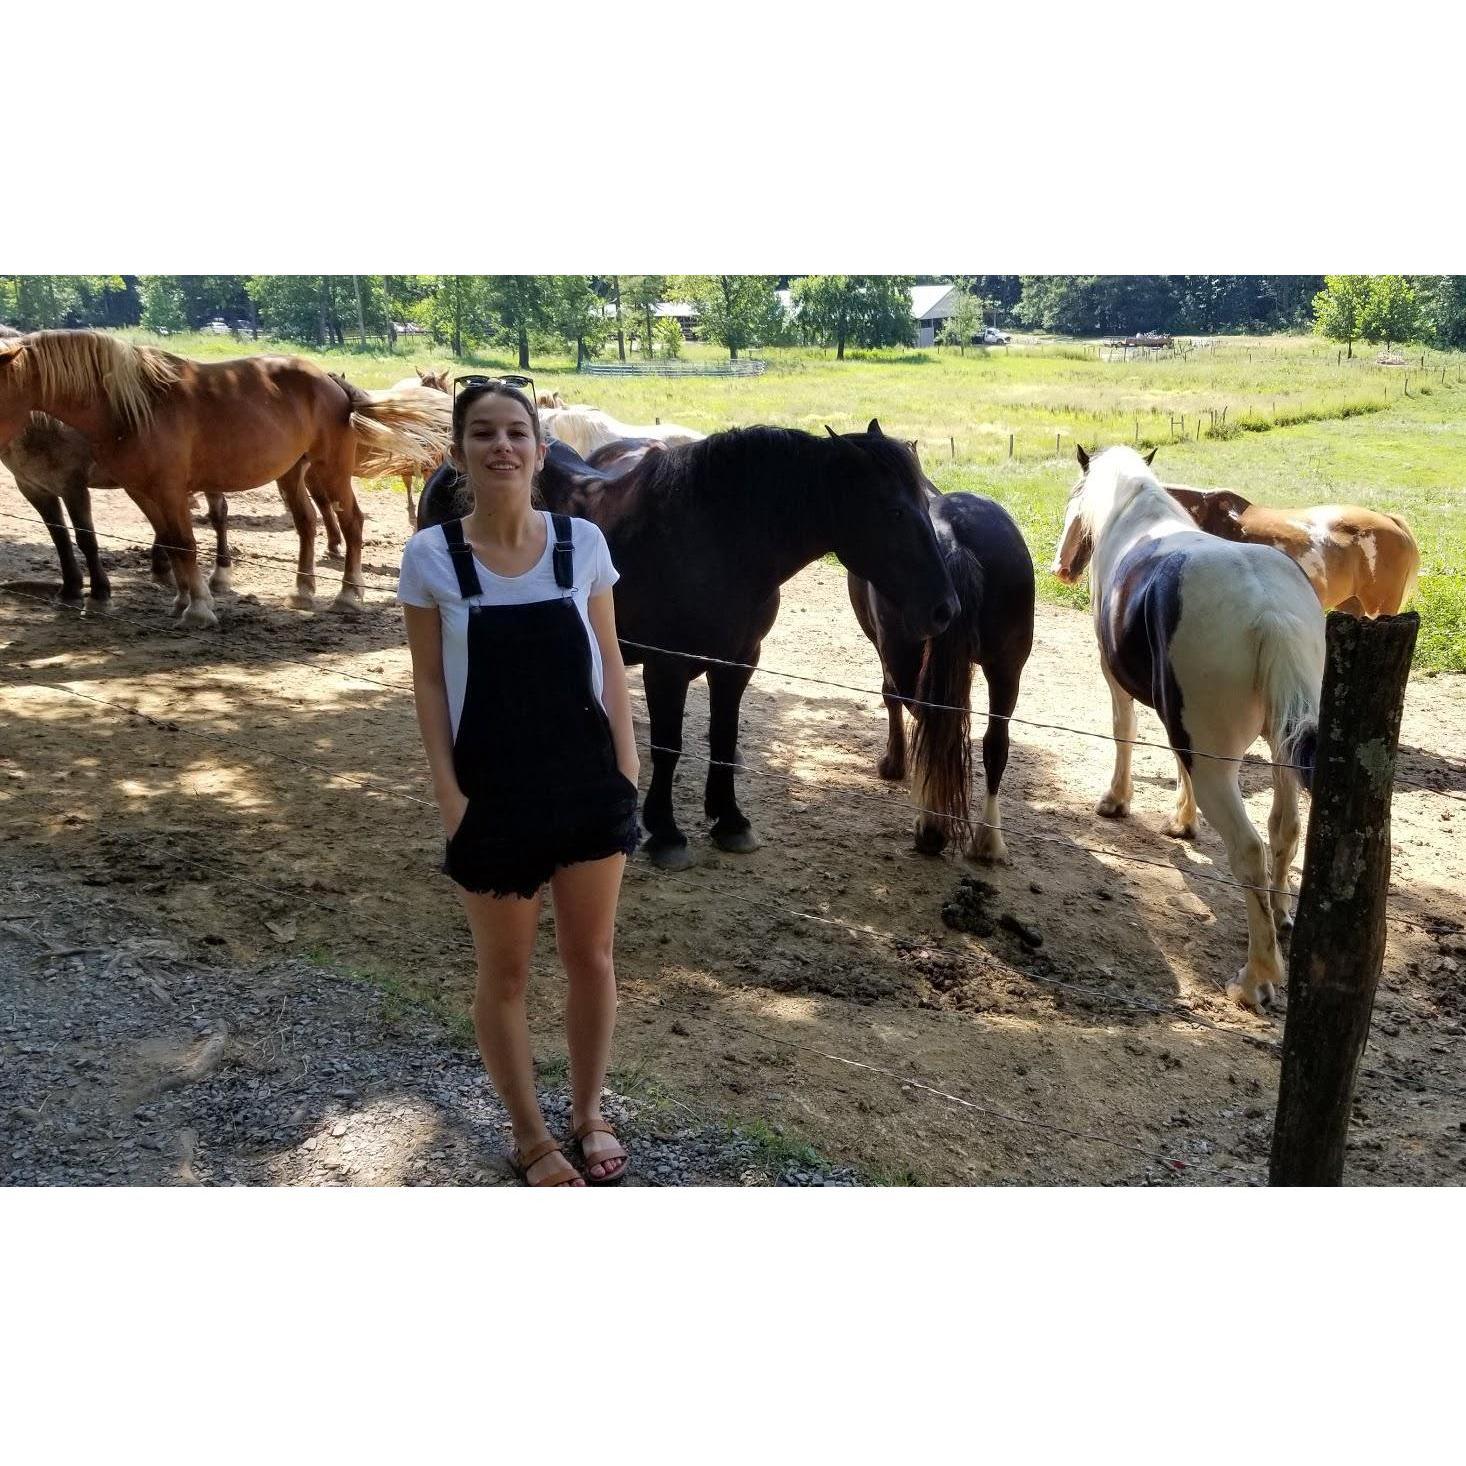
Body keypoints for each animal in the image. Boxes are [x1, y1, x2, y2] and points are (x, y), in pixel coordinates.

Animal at [0, 332, 442, 624]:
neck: (134, 407)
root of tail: (332, 384)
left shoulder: (168, 491)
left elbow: (184, 543)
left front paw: (198, 608)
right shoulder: (142, 492)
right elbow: (171, 543)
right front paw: (182, 600)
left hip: (329, 470)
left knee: (351, 522)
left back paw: (348, 595)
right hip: (292, 474)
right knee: (306, 523)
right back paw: (303, 590)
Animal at [844, 486, 1037, 862]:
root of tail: (952, 534)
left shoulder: (884, 649)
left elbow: (888, 696)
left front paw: (893, 764)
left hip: (907, 658)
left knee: (933, 729)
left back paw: (931, 830)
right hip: (1007, 669)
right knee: (995, 743)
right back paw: (986, 841)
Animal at [1049, 445, 1325, 1014]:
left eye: (1074, 497)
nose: (1060, 566)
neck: (1136, 518)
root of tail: (1271, 614)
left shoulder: (1118, 683)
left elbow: (1123, 732)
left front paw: (1116, 802)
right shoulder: (1182, 726)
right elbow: (1179, 765)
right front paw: (1182, 820)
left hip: (1222, 767)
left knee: (1249, 849)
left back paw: (1255, 978)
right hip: (1282, 746)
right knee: (1284, 829)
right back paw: (1280, 917)